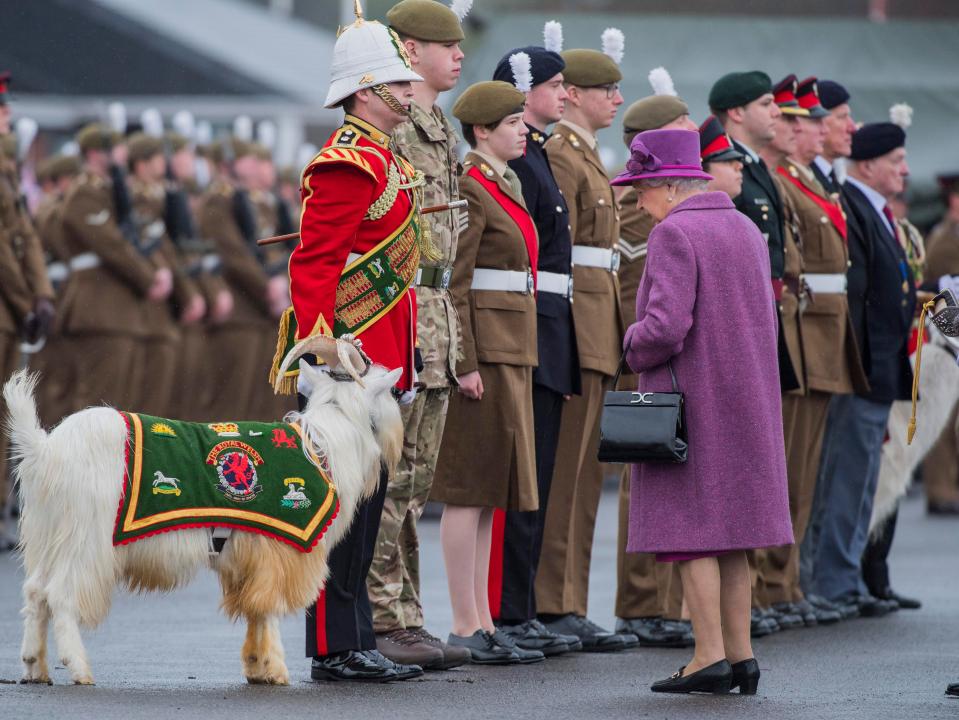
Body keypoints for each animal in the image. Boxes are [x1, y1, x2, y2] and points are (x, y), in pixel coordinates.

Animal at [4, 338, 402, 688]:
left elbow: (255, 610)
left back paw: (34, 666)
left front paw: (256, 666)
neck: (323, 445)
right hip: (86, 538)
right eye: (389, 392)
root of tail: (46, 450)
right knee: (60, 594)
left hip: (48, 533)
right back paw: (78, 668)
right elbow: (269, 607)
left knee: (34, 591)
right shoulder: (280, 544)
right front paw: (275, 669)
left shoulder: (247, 556)